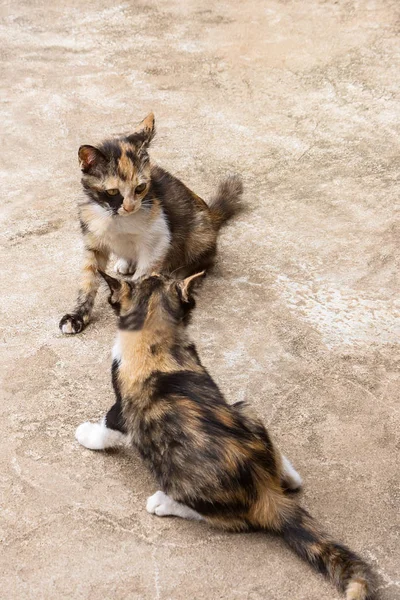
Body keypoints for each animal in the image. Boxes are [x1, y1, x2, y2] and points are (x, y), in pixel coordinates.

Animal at [59, 114, 241, 336]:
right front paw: (77, 315)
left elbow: (143, 276)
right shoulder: (93, 240)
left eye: (140, 188)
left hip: (198, 232)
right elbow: (88, 278)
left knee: (205, 260)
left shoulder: (158, 239)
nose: (130, 207)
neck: (115, 218)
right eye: (112, 192)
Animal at [74, 272, 376, 600]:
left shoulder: (124, 406)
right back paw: (291, 476)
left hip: (180, 474)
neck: (157, 335)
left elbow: (108, 426)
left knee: (223, 519)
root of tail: (264, 490)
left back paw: (163, 503)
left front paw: (87, 435)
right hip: (244, 408)